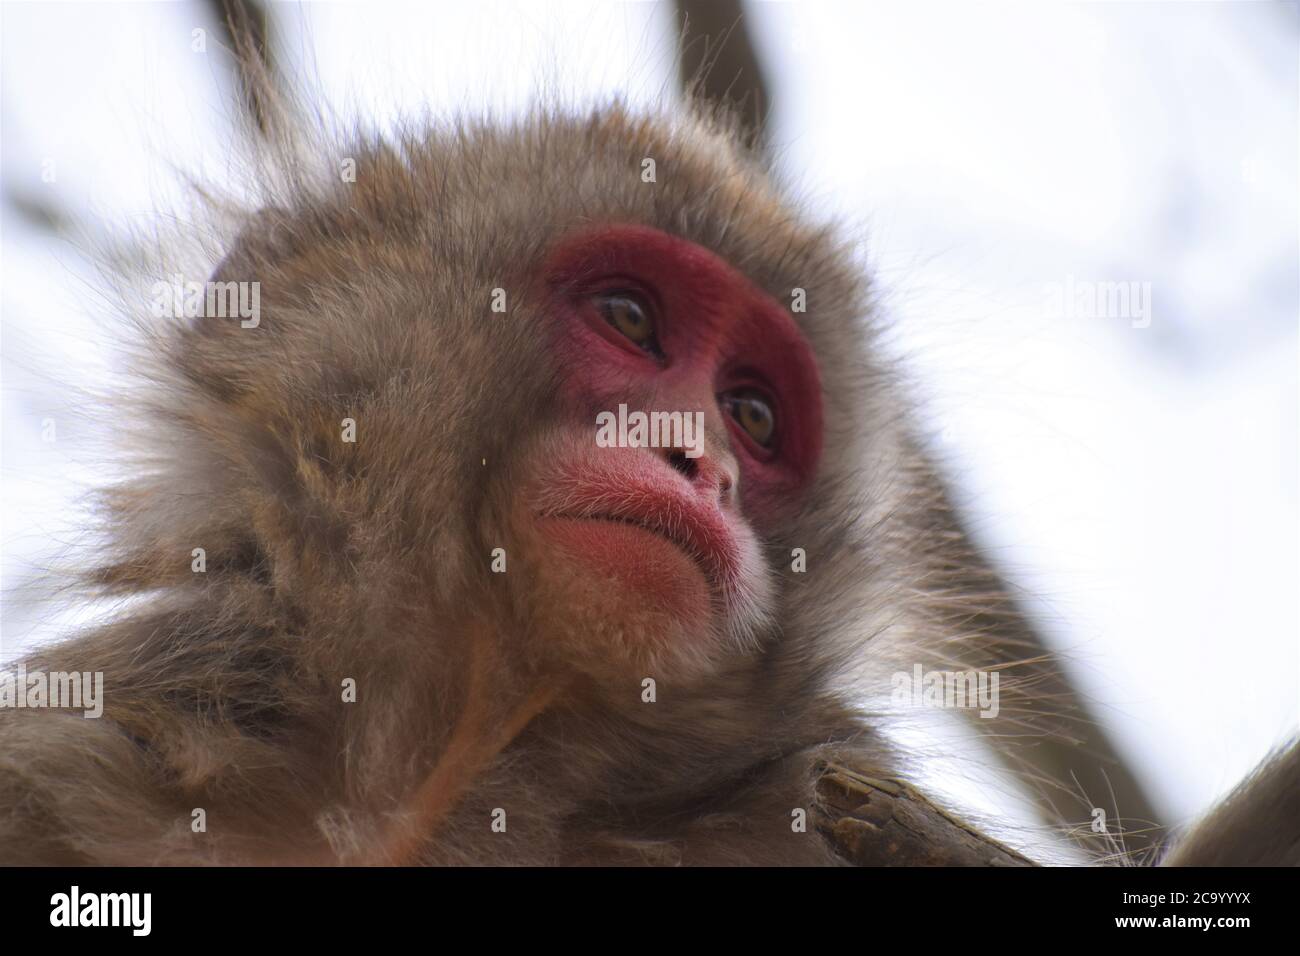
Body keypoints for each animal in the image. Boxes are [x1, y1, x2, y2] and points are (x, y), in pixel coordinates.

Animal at [0, 70, 1294, 868]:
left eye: (755, 414)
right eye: (630, 315)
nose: (699, 461)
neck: (452, 764)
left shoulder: (812, 802)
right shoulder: (84, 734)